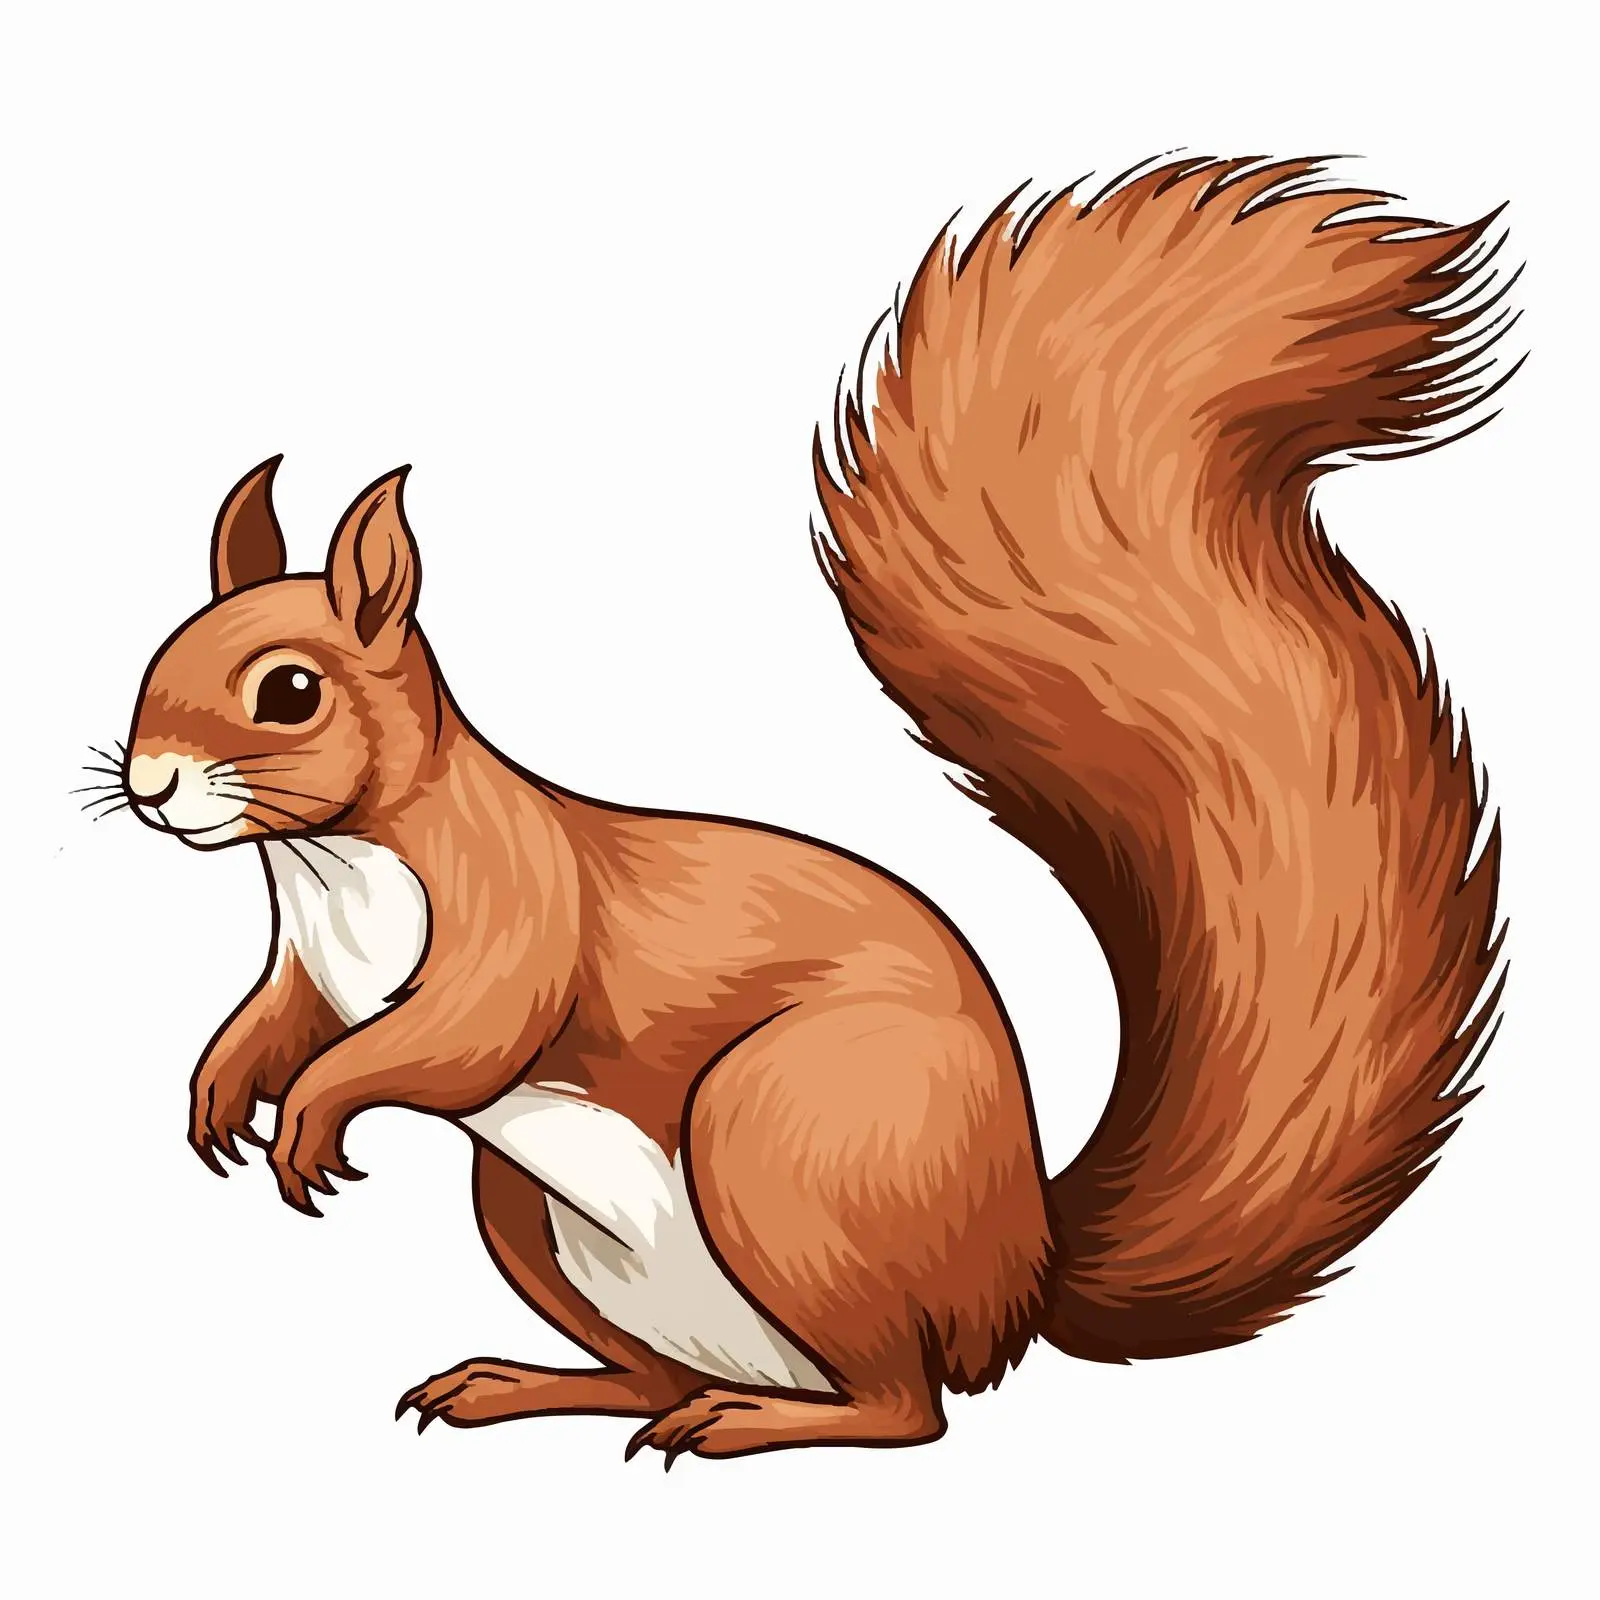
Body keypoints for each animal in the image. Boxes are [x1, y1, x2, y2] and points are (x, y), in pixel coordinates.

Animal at [112, 157, 1508, 1462]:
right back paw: (527, 1384)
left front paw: (313, 1116)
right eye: (159, 658)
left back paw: (744, 1422)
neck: (332, 861)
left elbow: (457, 1035)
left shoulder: (519, 912)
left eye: (288, 691)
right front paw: (222, 1091)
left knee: (902, 1407)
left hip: (787, 1140)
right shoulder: (307, 963)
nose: (150, 785)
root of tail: (1016, 1280)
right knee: (653, 1374)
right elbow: (277, 1016)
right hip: (525, 1218)